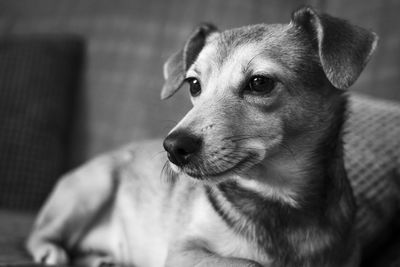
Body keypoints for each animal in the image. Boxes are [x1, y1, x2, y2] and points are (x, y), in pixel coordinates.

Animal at [27, 6, 378, 267]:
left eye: (260, 82)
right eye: (194, 85)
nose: (172, 147)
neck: (278, 201)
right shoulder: (184, 251)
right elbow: (247, 262)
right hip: (92, 185)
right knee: (37, 235)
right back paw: (51, 250)